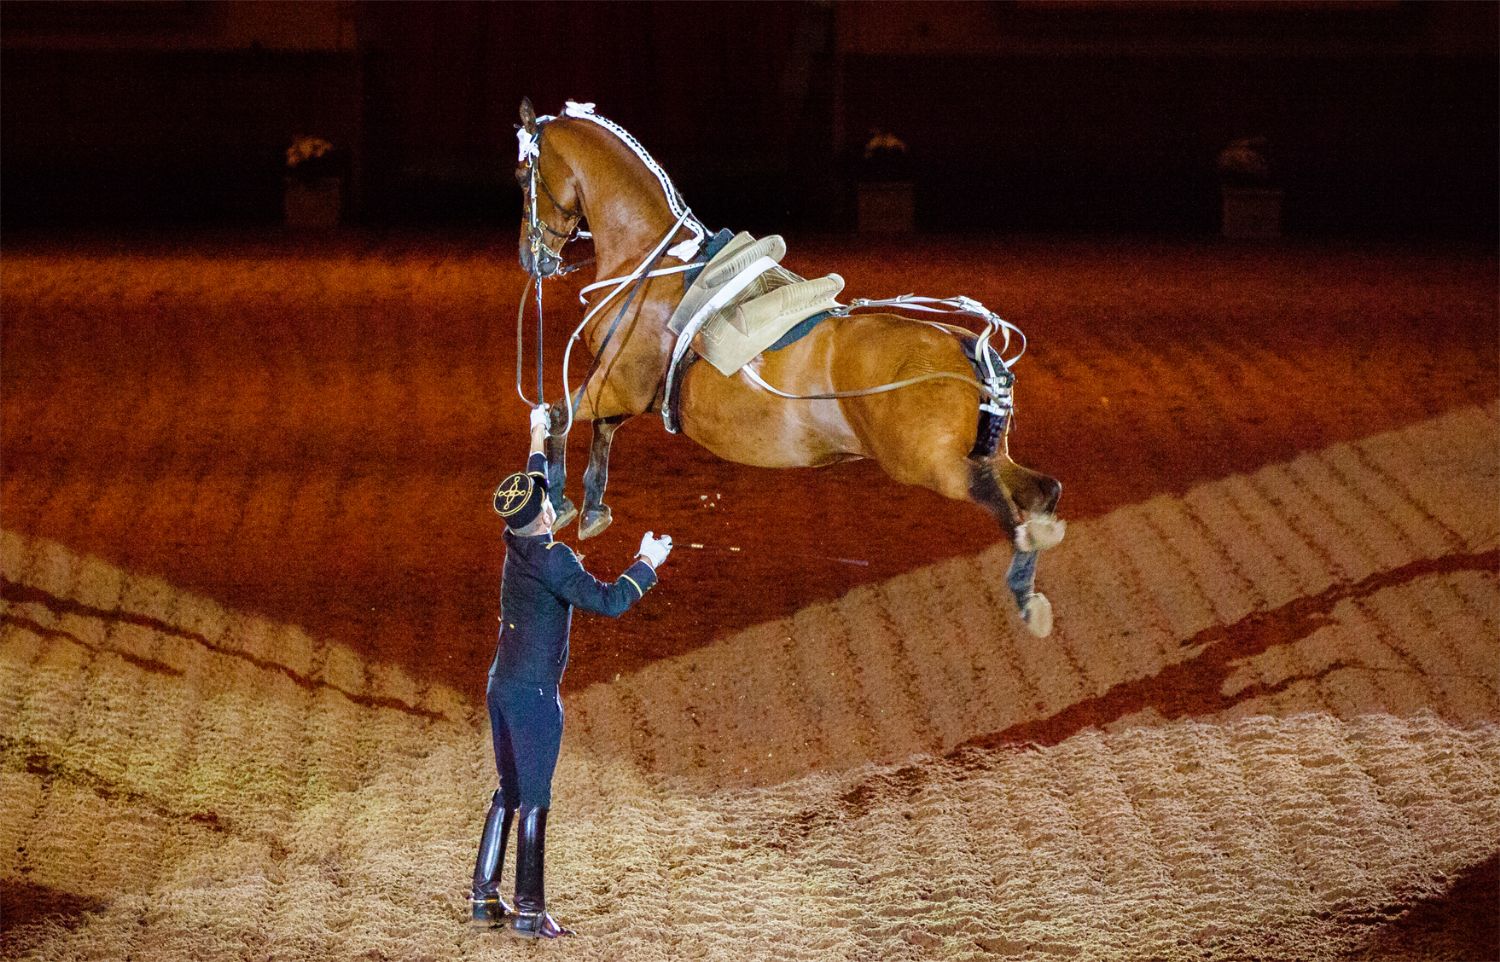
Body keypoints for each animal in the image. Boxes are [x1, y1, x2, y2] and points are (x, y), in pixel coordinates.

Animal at [516, 101, 1068, 633]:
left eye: (525, 176)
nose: (531, 257)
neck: (651, 265)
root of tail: (964, 346)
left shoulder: (617, 384)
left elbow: (560, 417)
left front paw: (559, 503)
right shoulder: (621, 389)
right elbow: (600, 431)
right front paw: (592, 509)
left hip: (931, 464)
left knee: (1003, 501)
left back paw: (1031, 566)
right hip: (975, 454)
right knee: (1041, 489)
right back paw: (1031, 583)